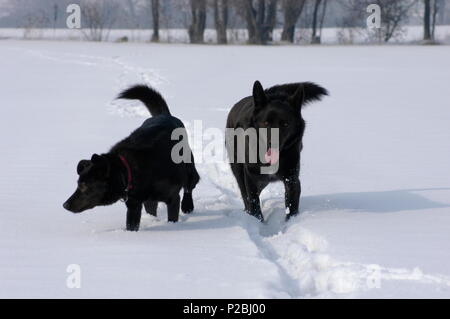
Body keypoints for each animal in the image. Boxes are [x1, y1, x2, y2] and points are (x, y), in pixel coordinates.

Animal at [63, 84, 199, 232]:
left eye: (83, 186)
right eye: (78, 184)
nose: (65, 205)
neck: (127, 170)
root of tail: (164, 115)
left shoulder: (172, 197)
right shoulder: (134, 203)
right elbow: (132, 224)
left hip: (189, 169)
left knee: (190, 186)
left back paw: (187, 206)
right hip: (149, 199)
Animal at [227, 81, 328, 221]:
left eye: (285, 124)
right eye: (265, 123)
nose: (272, 143)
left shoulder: (292, 179)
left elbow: (291, 206)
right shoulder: (251, 178)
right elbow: (253, 204)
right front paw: (258, 222)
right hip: (240, 171)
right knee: (244, 193)